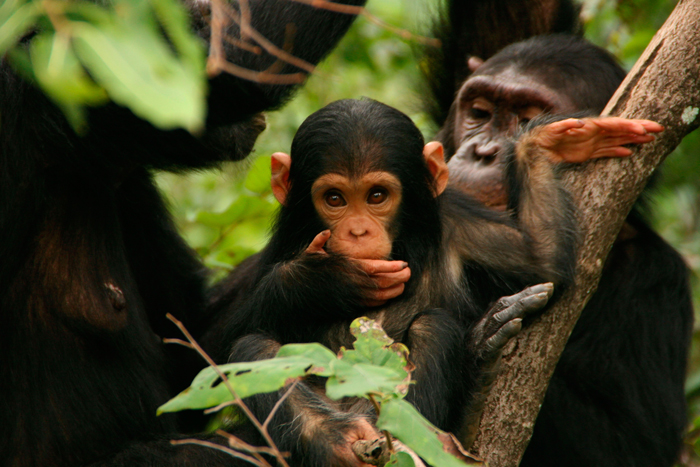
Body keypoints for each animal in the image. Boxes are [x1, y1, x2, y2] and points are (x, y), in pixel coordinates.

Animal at [0, 1, 370, 466]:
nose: (206, 12)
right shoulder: (69, 81)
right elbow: (237, 70)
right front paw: (317, 280)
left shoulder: (130, 182)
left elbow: (189, 346)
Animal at [204, 97, 660, 466]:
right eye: (334, 199)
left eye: (376, 196)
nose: (356, 231)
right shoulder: (280, 248)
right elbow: (217, 341)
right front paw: (324, 279)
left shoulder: (461, 224)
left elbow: (541, 258)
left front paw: (551, 143)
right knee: (254, 349)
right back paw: (337, 440)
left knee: (433, 328)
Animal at [422, 1, 696, 466]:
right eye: (479, 112)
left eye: (527, 119)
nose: (481, 152)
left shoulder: (657, 283)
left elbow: (631, 441)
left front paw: (479, 347)